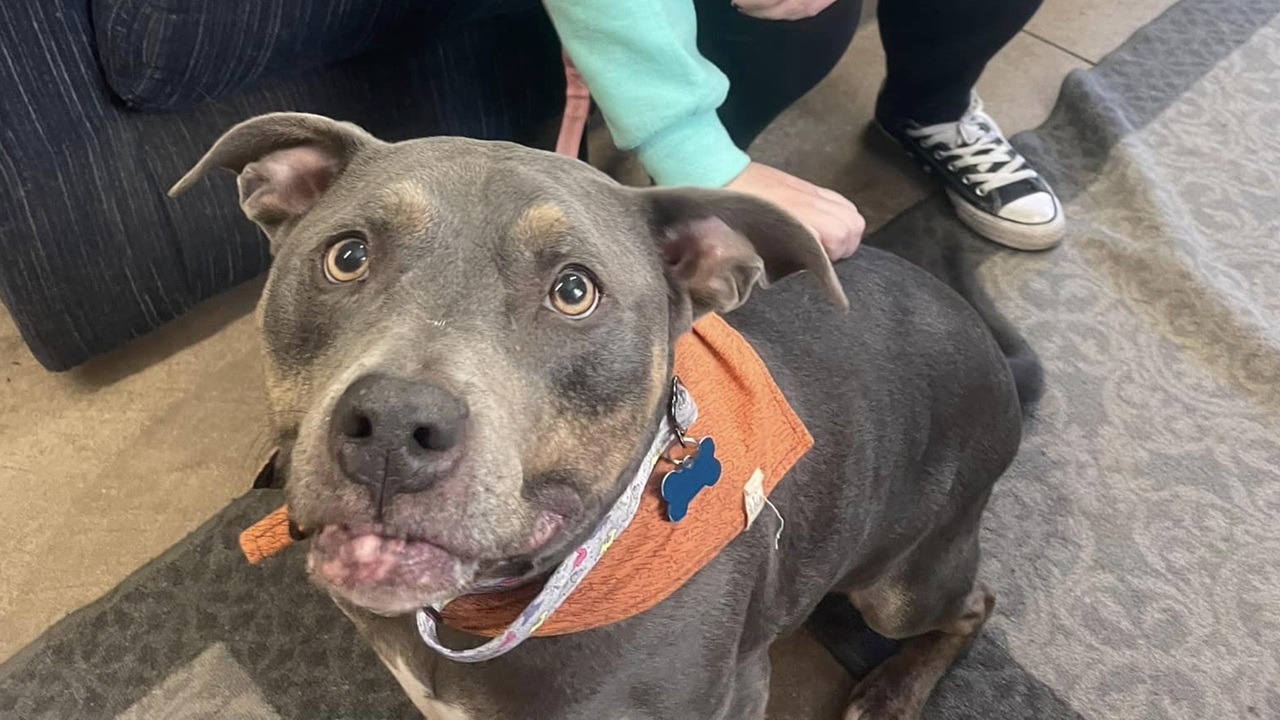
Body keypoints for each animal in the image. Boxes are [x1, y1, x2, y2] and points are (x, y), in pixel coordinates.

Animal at [170, 112, 1029, 717]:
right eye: (346, 256)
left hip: (902, 587)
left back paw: (892, 690)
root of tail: (983, 331)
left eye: (575, 291)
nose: (392, 426)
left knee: (975, 603)